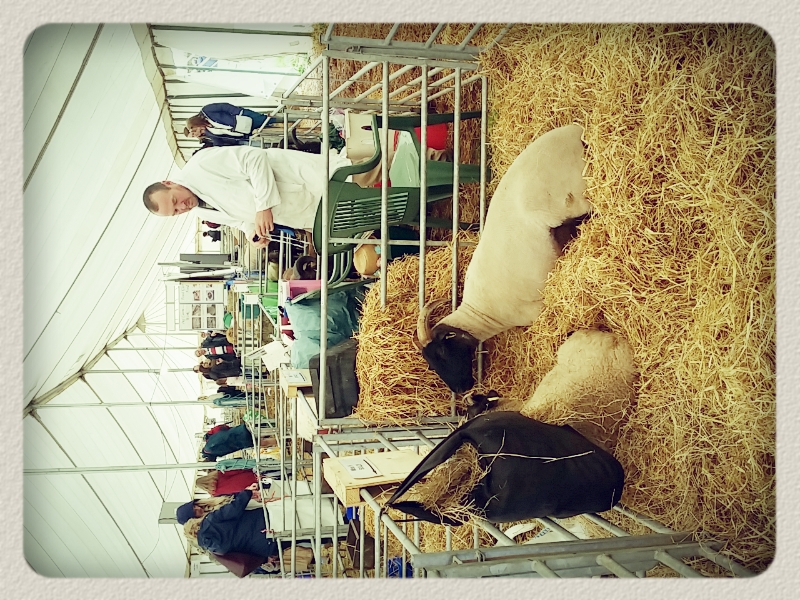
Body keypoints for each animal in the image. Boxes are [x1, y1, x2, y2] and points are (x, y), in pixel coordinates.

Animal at [415, 124, 594, 393]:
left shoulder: (532, 311)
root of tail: (573, 131)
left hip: (576, 195)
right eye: (430, 364)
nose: (462, 389)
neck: (482, 312)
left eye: (443, 352)